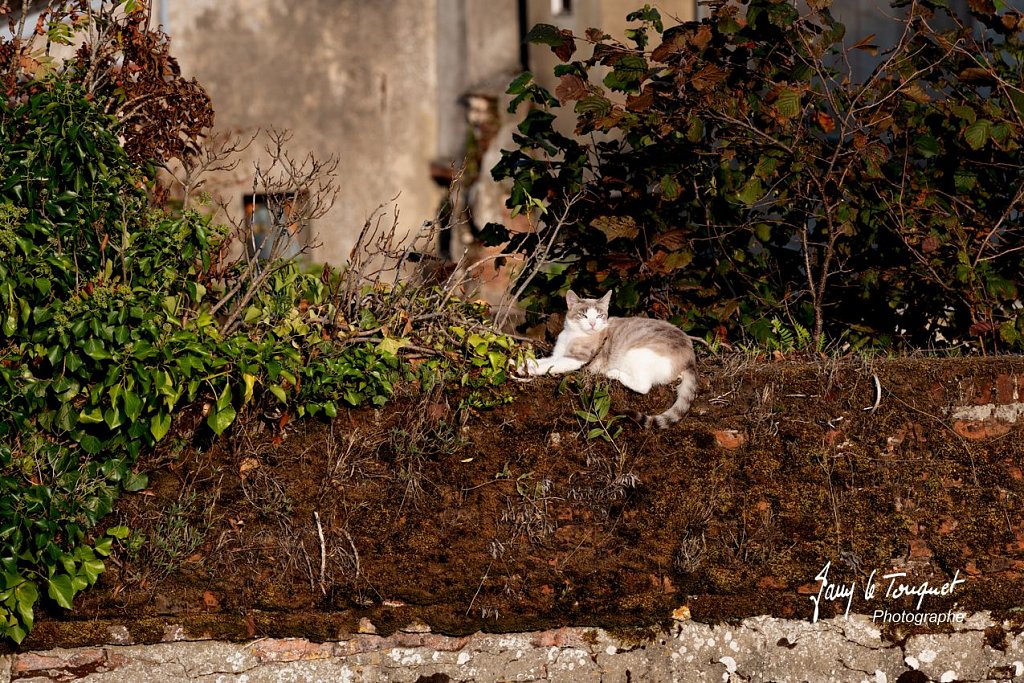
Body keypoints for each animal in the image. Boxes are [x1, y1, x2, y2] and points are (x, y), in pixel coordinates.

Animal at [524, 290, 700, 430]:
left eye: (599, 315)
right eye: (584, 315)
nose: (592, 323)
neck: (573, 335)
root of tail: (691, 358)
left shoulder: (576, 358)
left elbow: (551, 365)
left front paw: (529, 370)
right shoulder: (557, 354)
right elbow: (544, 361)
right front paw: (522, 365)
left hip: (634, 353)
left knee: (643, 386)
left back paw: (613, 373)